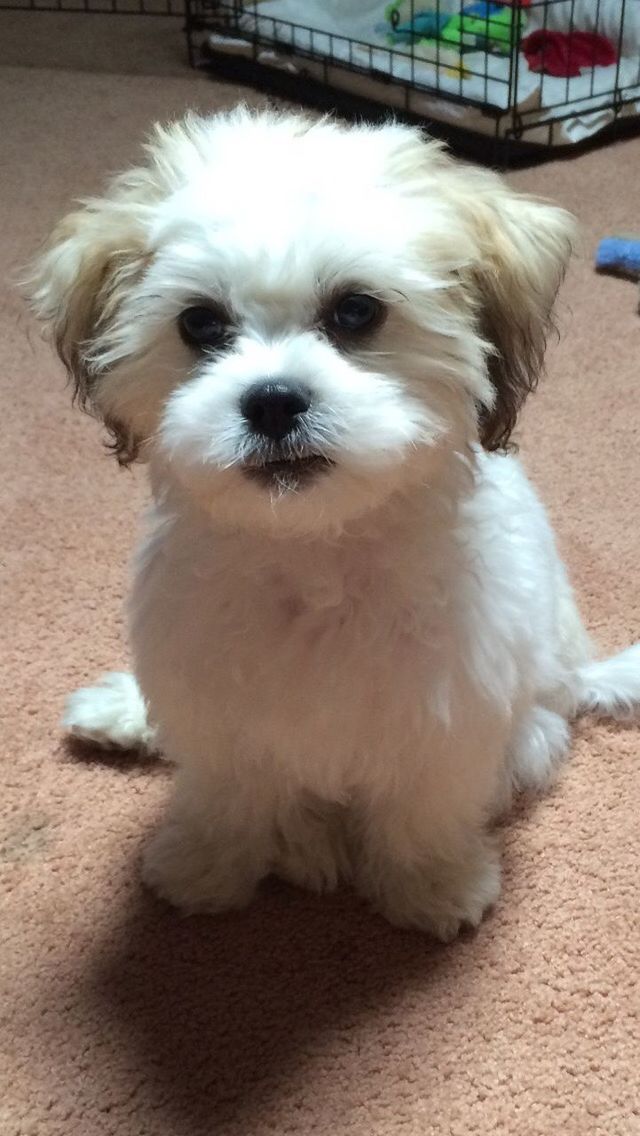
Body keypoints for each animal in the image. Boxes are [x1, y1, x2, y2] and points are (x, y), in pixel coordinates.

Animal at [31, 110, 640, 936]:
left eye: (356, 311)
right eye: (200, 323)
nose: (273, 401)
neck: (314, 552)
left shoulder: (448, 715)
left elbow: (422, 804)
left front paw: (431, 885)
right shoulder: (215, 704)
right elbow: (227, 791)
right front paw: (207, 865)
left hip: (536, 726)